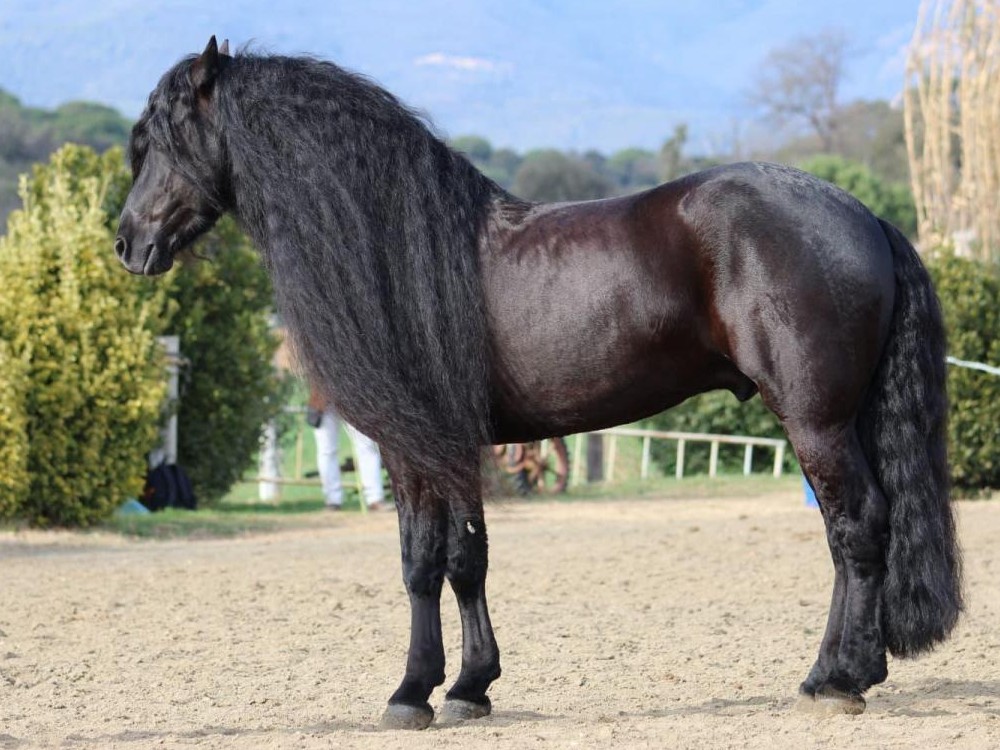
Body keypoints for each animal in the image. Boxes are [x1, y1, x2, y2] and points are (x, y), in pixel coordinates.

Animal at [115, 37, 962, 729]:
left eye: (163, 137)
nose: (127, 242)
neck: (396, 249)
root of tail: (864, 218)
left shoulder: (413, 446)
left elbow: (425, 563)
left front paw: (412, 694)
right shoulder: (451, 444)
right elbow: (466, 560)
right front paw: (469, 688)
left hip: (815, 420)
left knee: (856, 529)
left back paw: (838, 679)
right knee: (849, 533)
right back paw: (840, 672)